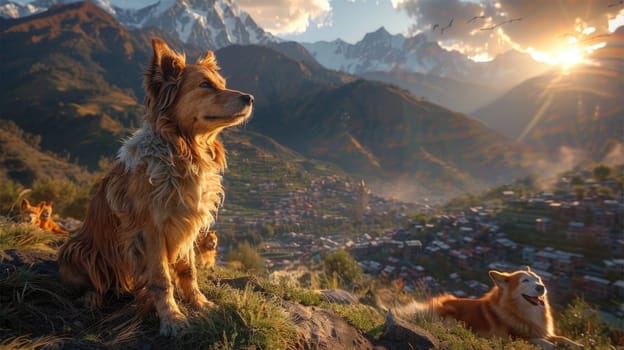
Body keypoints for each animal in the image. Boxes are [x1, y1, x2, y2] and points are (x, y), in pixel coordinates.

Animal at [58, 38, 254, 336]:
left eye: (221, 83)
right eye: (205, 85)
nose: (250, 98)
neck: (184, 152)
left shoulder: (187, 224)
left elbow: (188, 271)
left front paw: (199, 303)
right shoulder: (150, 229)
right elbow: (162, 279)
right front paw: (172, 318)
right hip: (77, 252)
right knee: (92, 283)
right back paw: (92, 297)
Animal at [392, 266, 584, 348]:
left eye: (538, 279)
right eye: (525, 281)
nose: (541, 287)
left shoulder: (540, 330)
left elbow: (560, 338)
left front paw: (576, 344)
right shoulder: (515, 336)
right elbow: (543, 342)